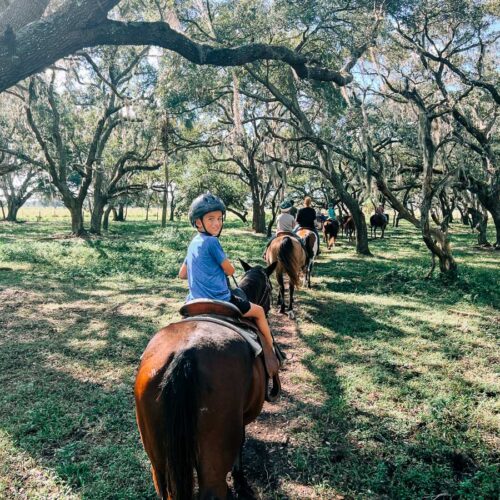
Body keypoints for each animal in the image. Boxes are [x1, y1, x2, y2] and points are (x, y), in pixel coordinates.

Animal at [135, 260, 278, 498]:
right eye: (270, 289)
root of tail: (185, 354)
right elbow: (241, 445)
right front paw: (240, 482)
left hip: (158, 460)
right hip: (213, 459)